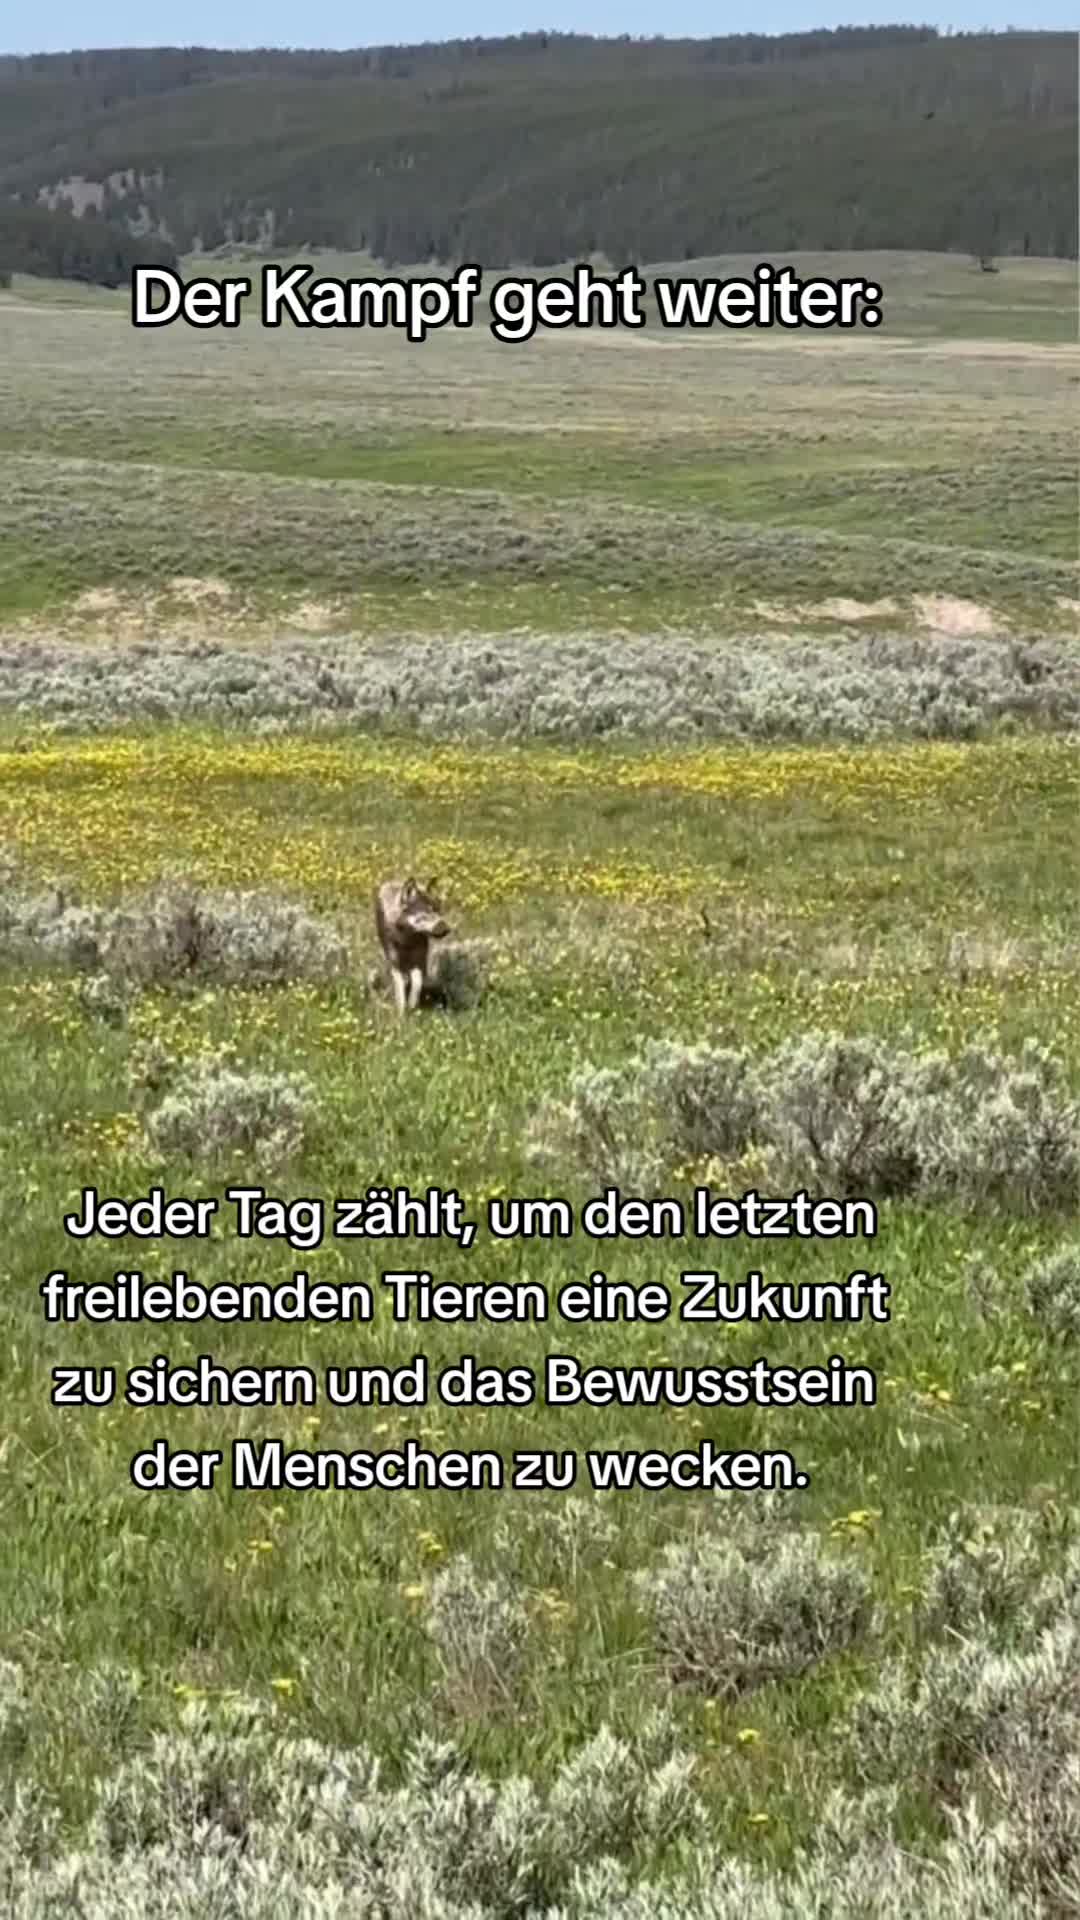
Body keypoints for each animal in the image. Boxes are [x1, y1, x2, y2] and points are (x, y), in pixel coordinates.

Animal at [374, 876, 451, 1014]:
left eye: (438, 910)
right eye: (425, 913)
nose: (447, 930)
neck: (406, 940)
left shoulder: (419, 961)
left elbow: (417, 983)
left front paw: (412, 1005)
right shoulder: (395, 963)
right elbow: (400, 987)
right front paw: (401, 1011)